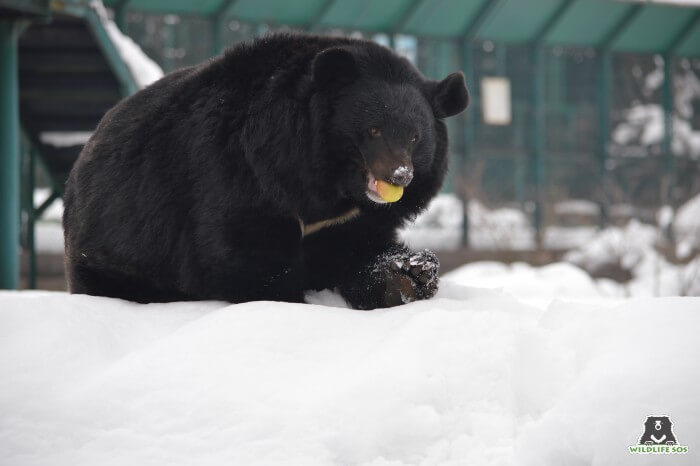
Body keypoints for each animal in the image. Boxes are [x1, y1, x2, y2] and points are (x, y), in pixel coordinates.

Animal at [63, 33, 468, 310]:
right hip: (117, 243)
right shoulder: (240, 174)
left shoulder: (349, 220)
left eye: (415, 137)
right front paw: (287, 304)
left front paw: (411, 275)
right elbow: (246, 257)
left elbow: (360, 248)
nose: (400, 176)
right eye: (373, 130)